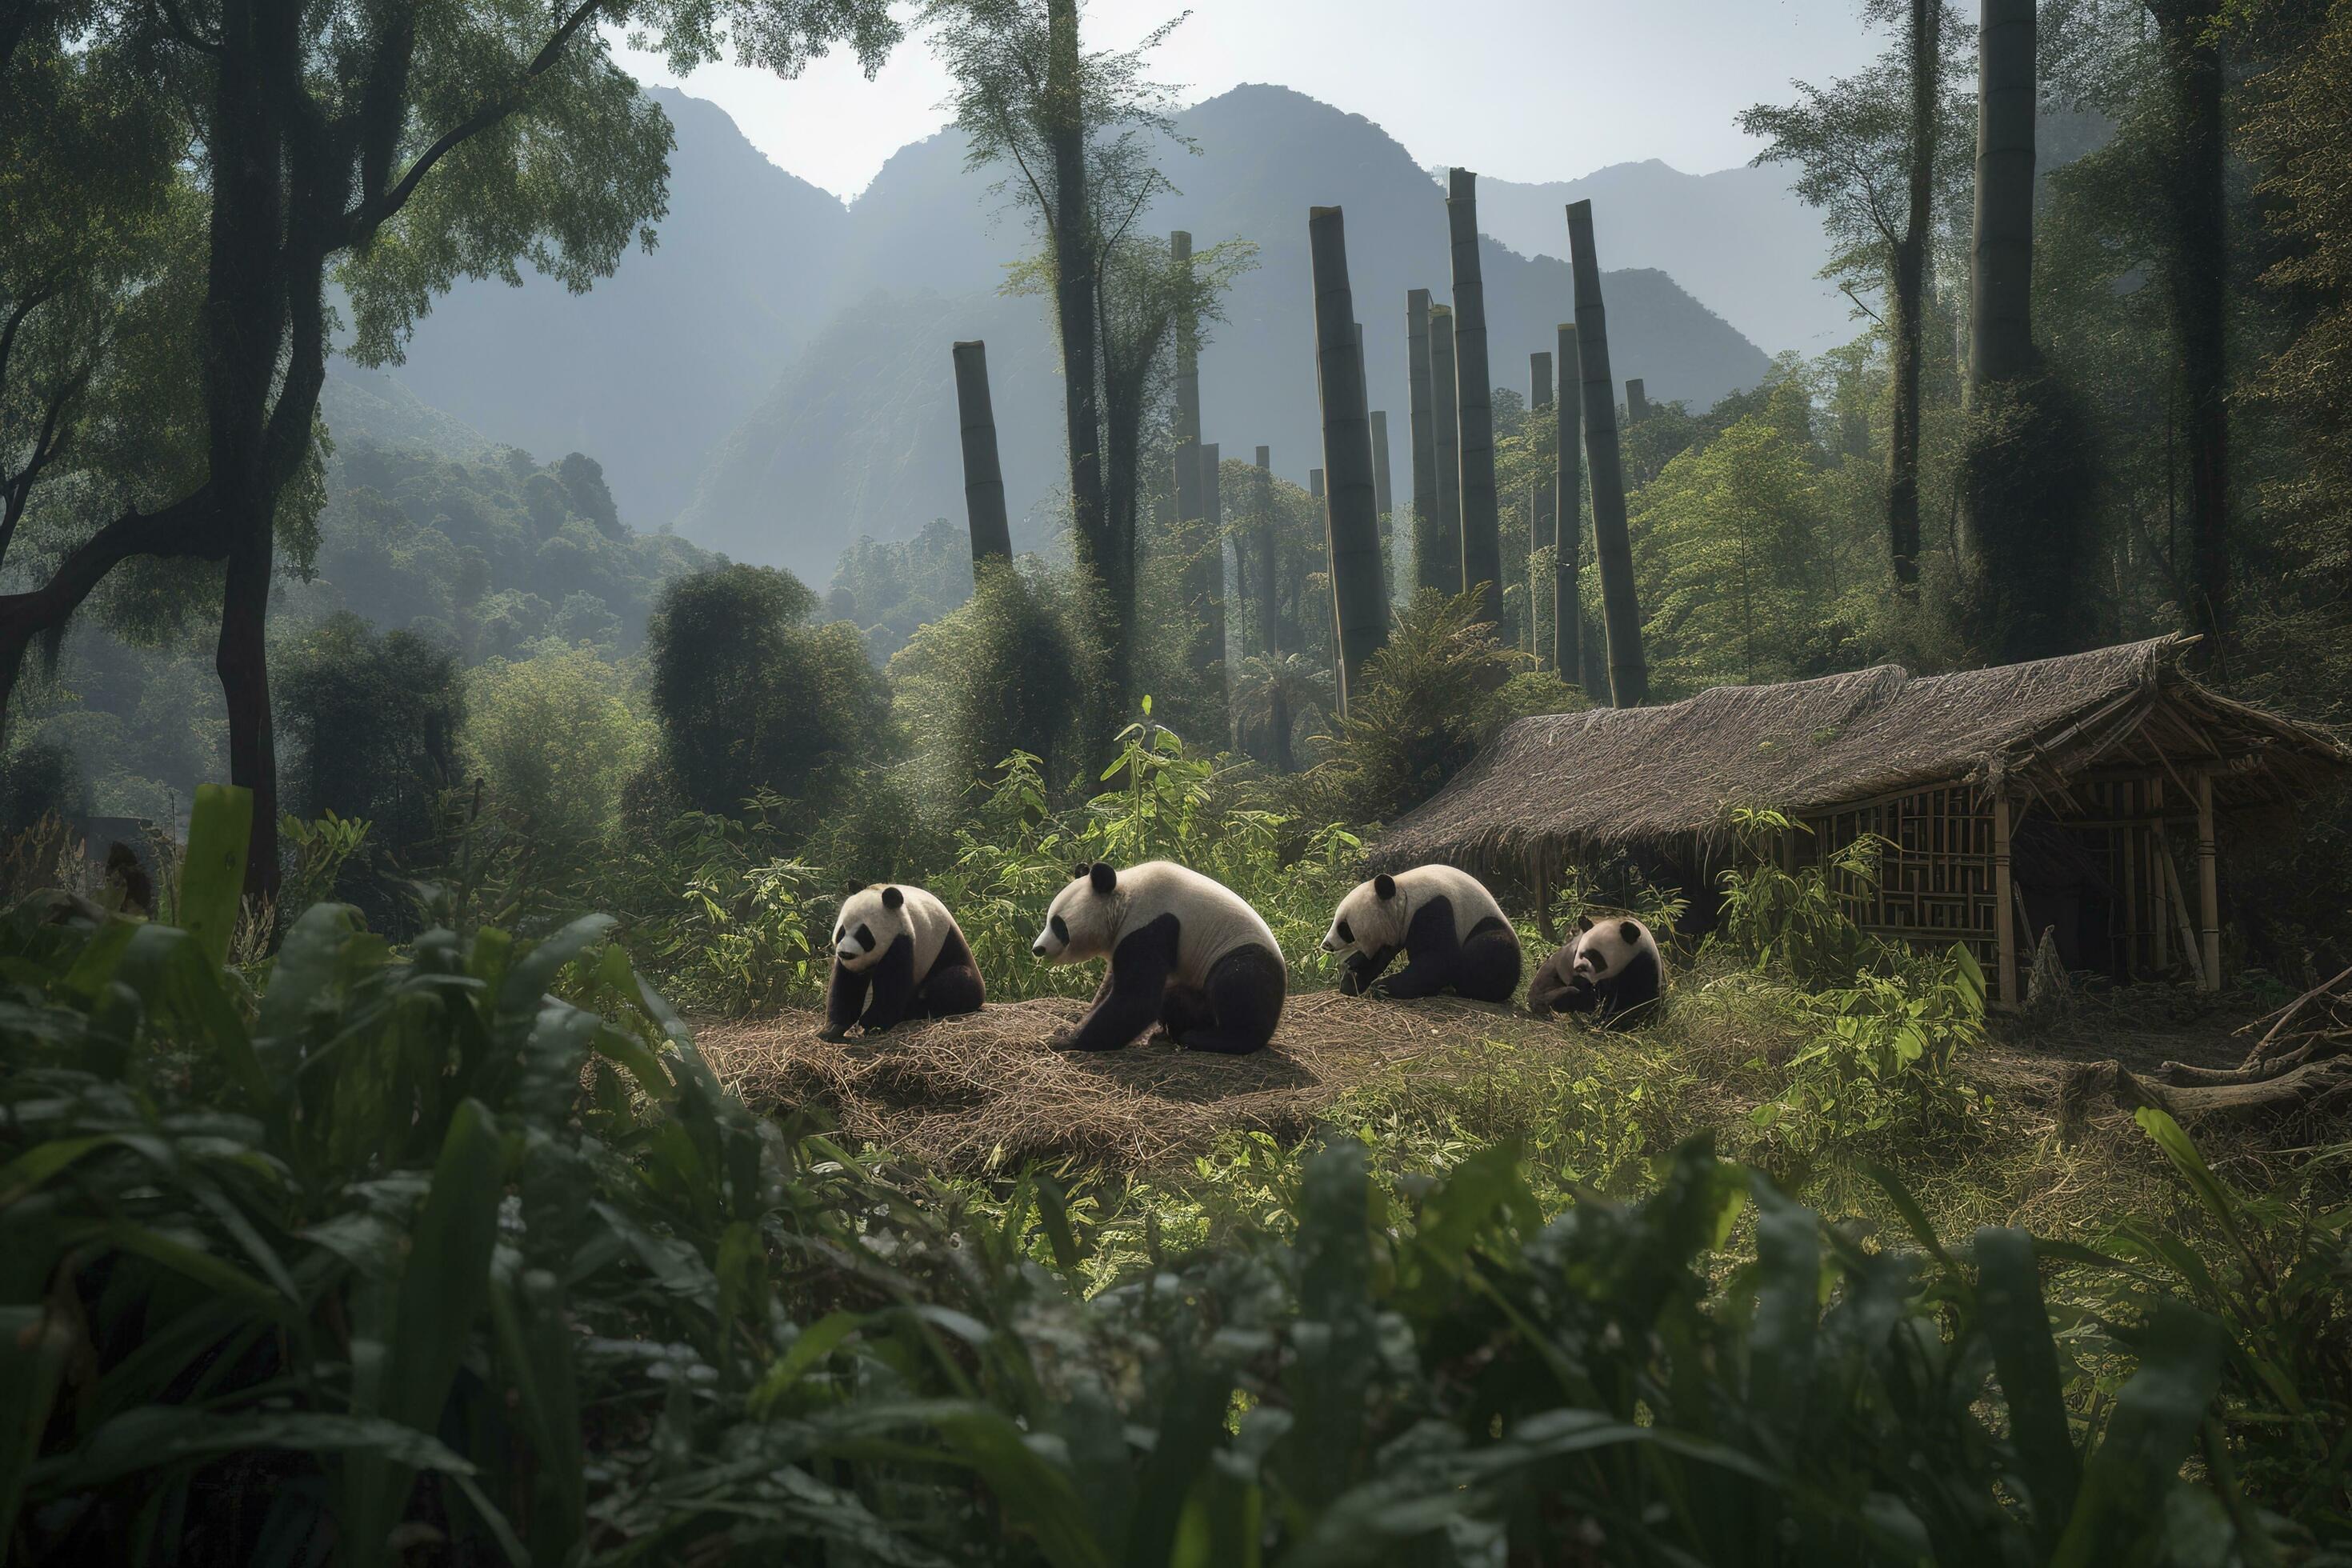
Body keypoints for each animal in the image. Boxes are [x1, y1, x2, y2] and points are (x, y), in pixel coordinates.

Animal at [823, 883, 987, 1043]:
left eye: (863, 935)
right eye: (841, 932)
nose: (846, 953)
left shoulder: (902, 939)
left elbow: (892, 987)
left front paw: (871, 1023)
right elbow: (847, 985)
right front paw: (833, 1029)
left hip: (947, 955)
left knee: (955, 982)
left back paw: (915, 1009)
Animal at [1030, 860, 1289, 1053]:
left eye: (1059, 926)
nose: (1038, 949)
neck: (1124, 896)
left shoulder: (1152, 923)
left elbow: (1136, 998)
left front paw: (1063, 1040)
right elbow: (1113, 985)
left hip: (1236, 952)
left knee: (1240, 986)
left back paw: (1208, 1038)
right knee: (1175, 998)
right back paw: (1169, 1032)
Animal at [1317, 865, 1514, 1001]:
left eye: (1344, 928)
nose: (1326, 945)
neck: (1403, 895)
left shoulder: (1433, 907)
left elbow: (1437, 958)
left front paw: (1382, 986)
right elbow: (1377, 959)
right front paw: (1351, 982)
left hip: (1484, 924)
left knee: (1490, 948)